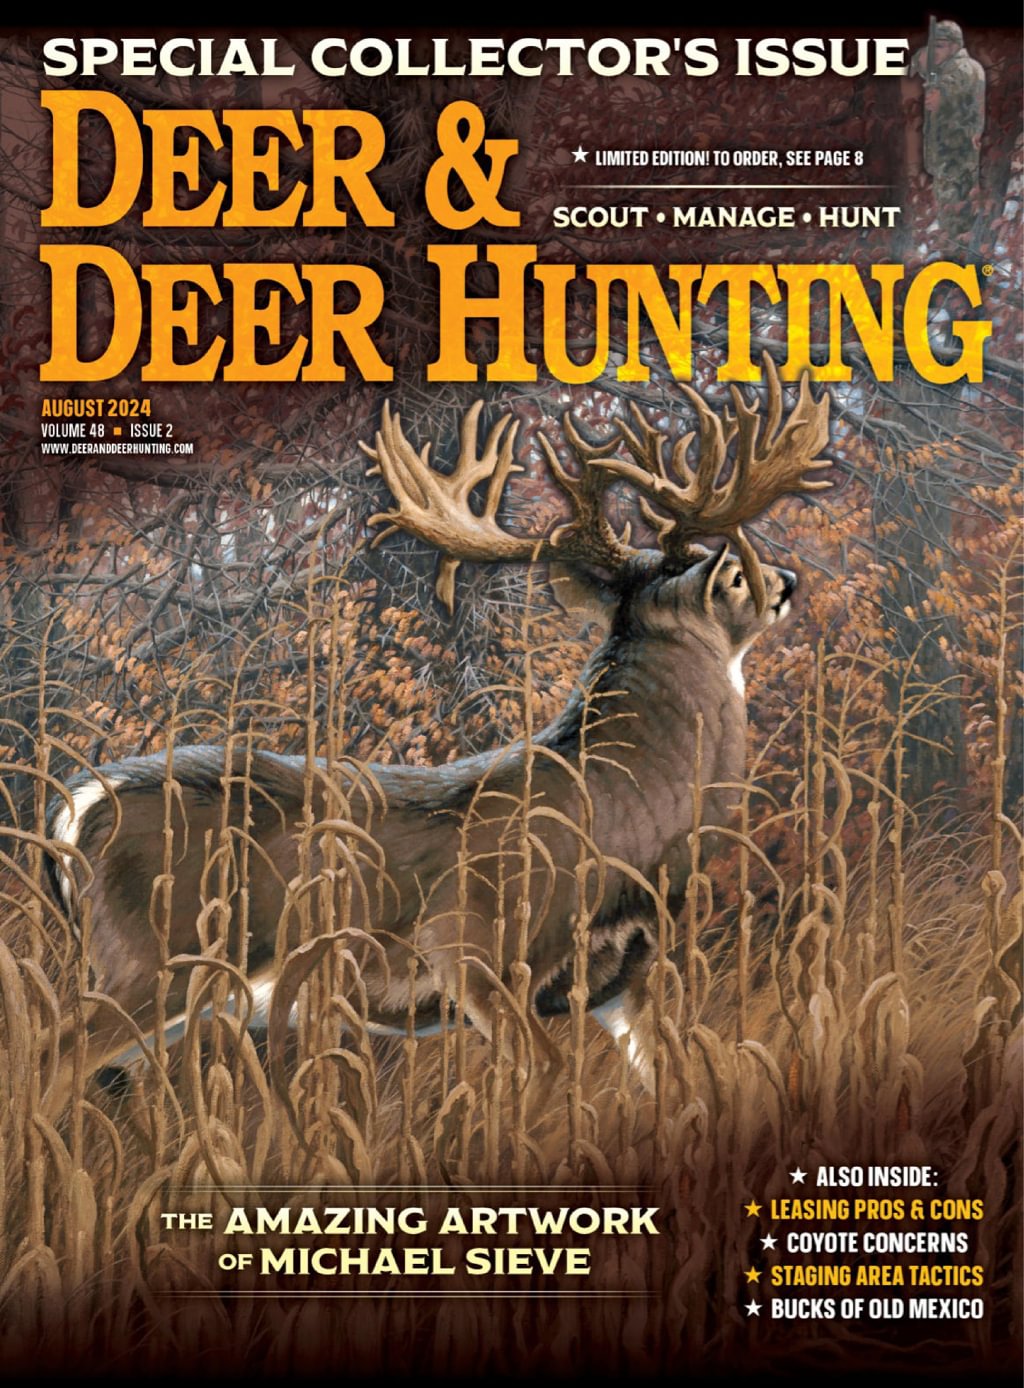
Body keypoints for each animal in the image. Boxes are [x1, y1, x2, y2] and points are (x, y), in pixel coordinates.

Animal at [44, 358, 830, 1116]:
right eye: (734, 574)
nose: (790, 578)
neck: (625, 817)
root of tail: (78, 808)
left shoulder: (622, 977)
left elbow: (679, 1083)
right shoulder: (474, 951)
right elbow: (539, 1085)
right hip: (154, 963)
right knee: (46, 1059)